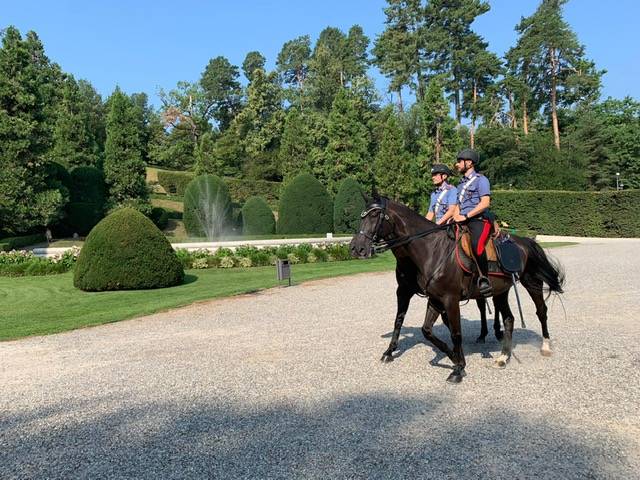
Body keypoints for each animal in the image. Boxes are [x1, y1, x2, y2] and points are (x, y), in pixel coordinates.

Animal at [349, 195, 565, 383]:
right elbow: (424, 329)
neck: (431, 250)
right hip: (501, 291)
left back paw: (545, 346)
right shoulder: (430, 298)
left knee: (541, 311)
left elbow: (455, 332)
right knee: (509, 318)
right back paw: (503, 355)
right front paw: (454, 356)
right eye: (362, 216)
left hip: (532, 282)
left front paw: (458, 368)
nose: (356, 248)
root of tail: (524, 241)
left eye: (375, 215)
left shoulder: (449, 299)